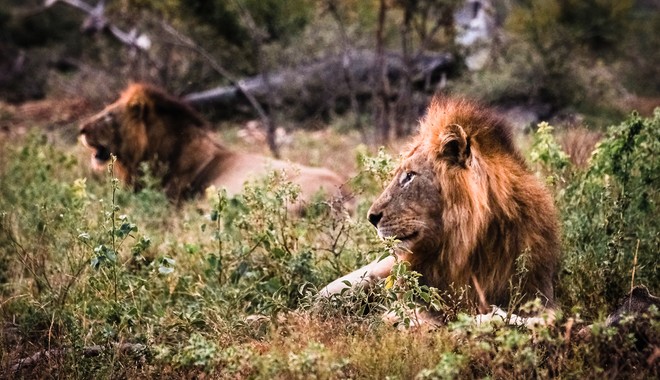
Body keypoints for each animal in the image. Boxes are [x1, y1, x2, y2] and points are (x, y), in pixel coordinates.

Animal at [322, 97, 560, 326]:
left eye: (409, 176)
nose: (371, 218)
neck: (468, 246)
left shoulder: (539, 292)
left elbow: (545, 319)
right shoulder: (414, 301)